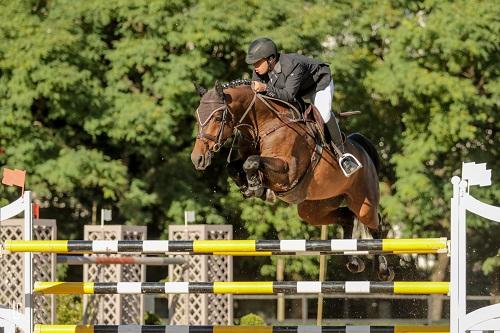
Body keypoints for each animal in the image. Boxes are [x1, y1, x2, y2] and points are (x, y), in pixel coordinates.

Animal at [190, 80, 394, 280]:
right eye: (197, 117)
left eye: (217, 117)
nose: (197, 158)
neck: (265, 124)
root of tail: (362, 148)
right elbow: (233, 166)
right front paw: (251, 188)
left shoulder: (288, 171)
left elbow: (252, 161)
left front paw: (257, 186)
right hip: (314, 208)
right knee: (347, 217)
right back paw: (353, 261)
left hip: (363, 203)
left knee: (375, 226)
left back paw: (384, 270)